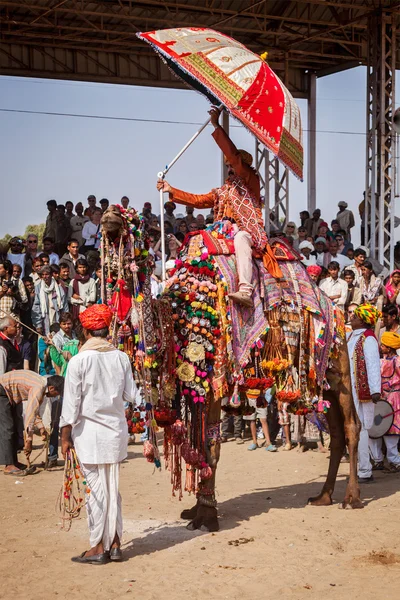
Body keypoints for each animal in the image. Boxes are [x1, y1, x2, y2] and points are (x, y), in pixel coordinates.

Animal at [101, 204, 362, 532]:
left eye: (128, 217)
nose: (108, 217)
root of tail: (337, 313)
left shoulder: (212, 381)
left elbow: (210, 447)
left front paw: (207, 516)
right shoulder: (192, 387)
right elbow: (197, 447)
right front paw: (195, 509)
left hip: (339, 368)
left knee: (352, 425)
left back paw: (351, 498)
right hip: (320, 379)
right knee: (337, 431)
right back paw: (323, 496)